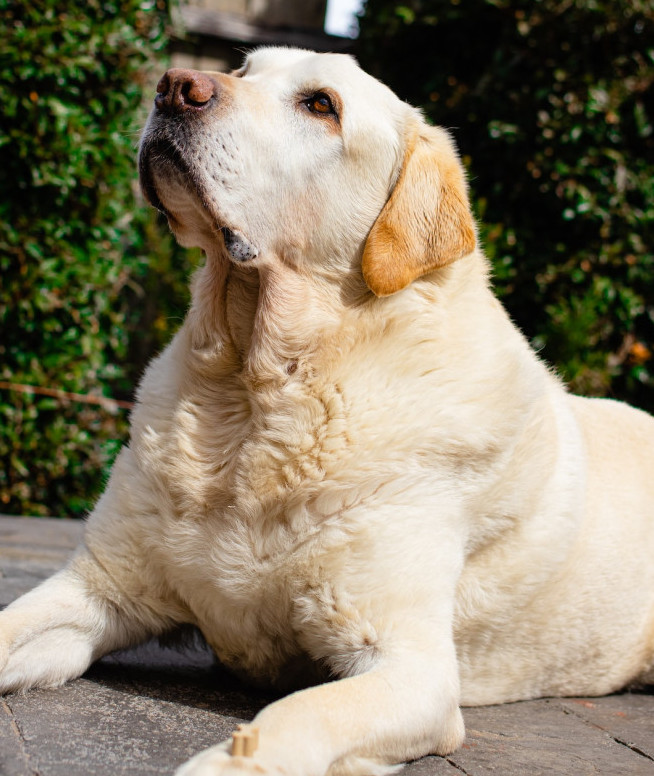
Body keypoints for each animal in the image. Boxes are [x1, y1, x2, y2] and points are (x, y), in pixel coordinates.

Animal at [3, 47, 654, 776]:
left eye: (321, 105)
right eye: (244, 70)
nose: (175, 86)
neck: (254, 395)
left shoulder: (411, 667)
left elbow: (294, 717)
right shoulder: (99, 585)